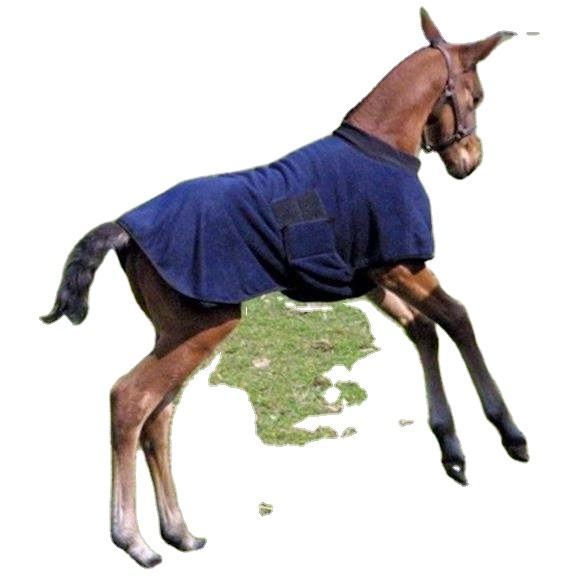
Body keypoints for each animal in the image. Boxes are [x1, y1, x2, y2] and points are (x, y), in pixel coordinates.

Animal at [41, 8, 528, 568]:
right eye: (476, 95)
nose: (469, 161)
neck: (379, 152)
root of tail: (123, 227)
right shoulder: (401, 266)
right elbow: (457, 318)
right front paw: (509, 432)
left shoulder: (373, 277)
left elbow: (424, 329)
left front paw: (452, 449)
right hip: (199, 330)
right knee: (131, 400)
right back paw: (133, 539)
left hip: (177, 335)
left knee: (159, 417)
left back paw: (179, 531)